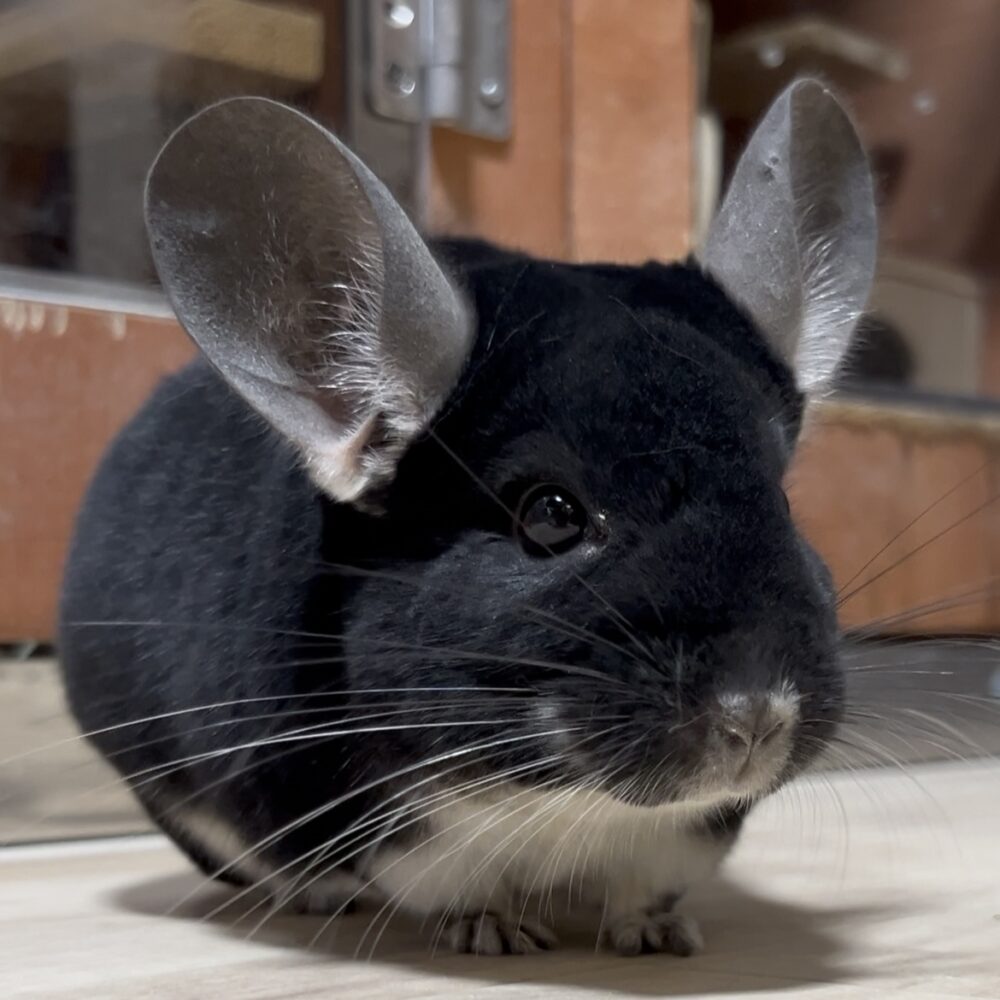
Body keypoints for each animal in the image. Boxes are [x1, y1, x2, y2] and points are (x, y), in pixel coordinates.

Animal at [58, 78, 876, 956]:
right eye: (549, 515)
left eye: (783, 502)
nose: (755, 717)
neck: (567, 804)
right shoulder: (411, 834)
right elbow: (464, 887)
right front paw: (499, 933)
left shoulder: (680, 838)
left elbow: (645, 886)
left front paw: (661, 937)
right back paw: (324, 897)